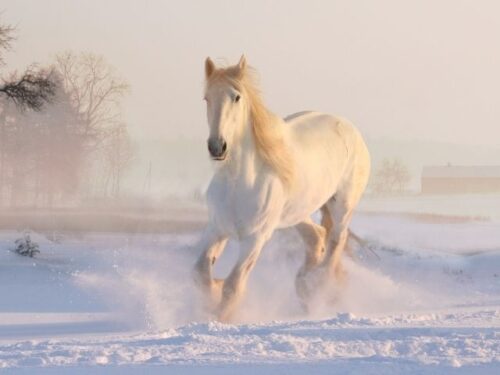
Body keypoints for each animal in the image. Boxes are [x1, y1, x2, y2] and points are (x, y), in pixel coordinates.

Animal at [193, 56, 370, 324]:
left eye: (236, 97)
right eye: (206, 98)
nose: (217, 147)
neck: (238, 183)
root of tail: (350, 128)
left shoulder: (255, 238)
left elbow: (233, 286)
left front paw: (221, 318)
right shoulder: (216, 228)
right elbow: (201, 272)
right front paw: (213, 293)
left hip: (342, 206)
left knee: (335, 242)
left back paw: (318, 288)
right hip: (297, 213)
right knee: (317, 237)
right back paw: (305, 287)